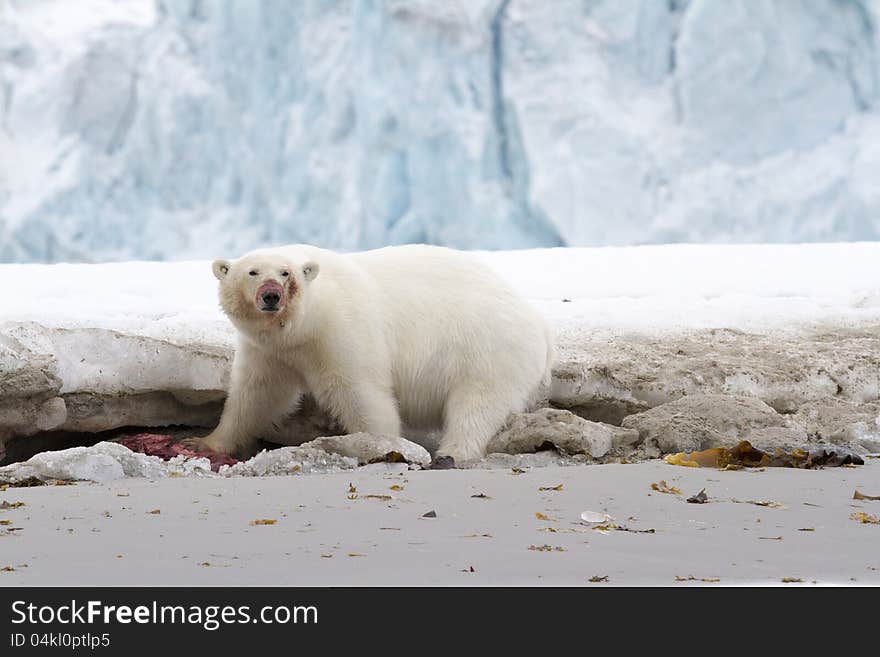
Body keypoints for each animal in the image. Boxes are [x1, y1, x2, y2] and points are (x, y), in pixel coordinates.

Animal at [189, 243, 552, 464]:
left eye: (285, 272)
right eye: (252, 272)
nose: (271, 295)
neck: (304, 326)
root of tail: (538, 324)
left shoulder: (342, 332)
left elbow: (360, 393)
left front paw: (384, 444)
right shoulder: (269, 350)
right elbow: (256, 395)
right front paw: (205, 441)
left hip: (487, 349)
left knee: (476, 405)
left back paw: (452, 452)